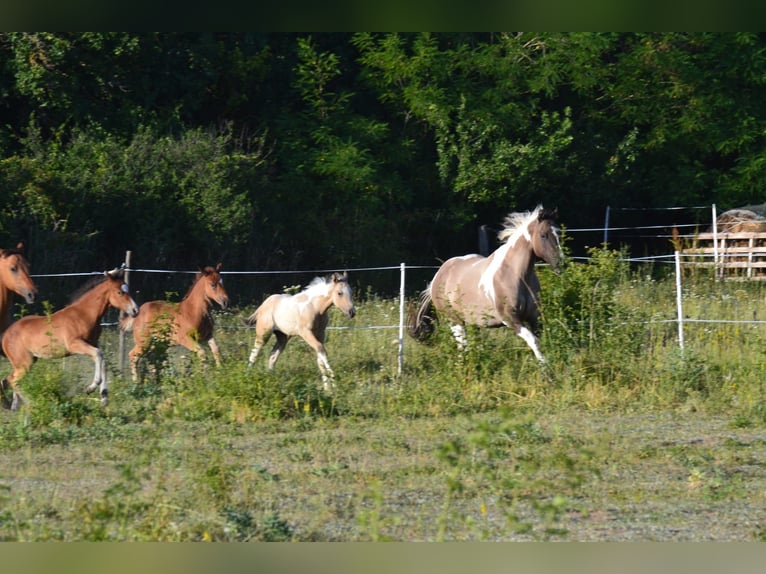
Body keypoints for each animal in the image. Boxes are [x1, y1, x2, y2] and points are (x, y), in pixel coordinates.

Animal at [0, 266, 138, 411]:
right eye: (119, 292)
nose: (135, 310)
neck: (84, 314)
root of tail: (5, 334)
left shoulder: (93, 343)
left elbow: (102, 359)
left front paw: (104, 398)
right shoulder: (75, 344)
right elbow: (98, 354)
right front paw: (92, 387)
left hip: (27, 361)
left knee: (8, 380)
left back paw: (15, 407)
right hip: (24, 363)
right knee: (12, 381)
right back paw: (30, 404)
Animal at [408, 206, 562, 362]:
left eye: (559, 233)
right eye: (543, 235)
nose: (561, 263)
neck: (516, 275)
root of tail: (437, 277)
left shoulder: (534, 316)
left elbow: (540, 340)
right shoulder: (510, 319)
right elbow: (533, 341)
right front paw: (545, 366)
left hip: (472, 322)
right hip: (455, 321)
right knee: (463, 347)